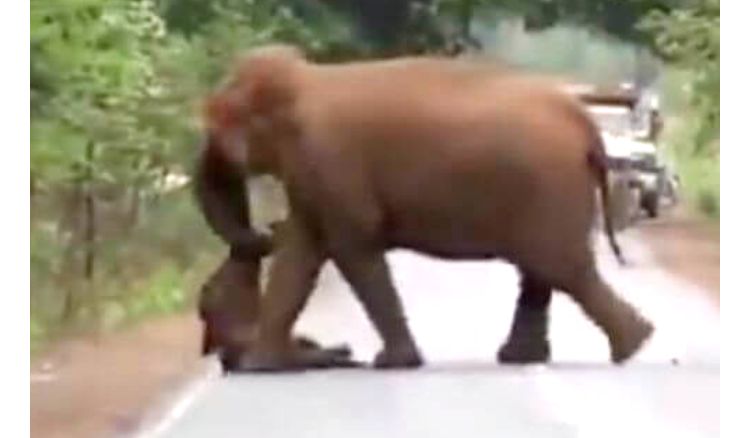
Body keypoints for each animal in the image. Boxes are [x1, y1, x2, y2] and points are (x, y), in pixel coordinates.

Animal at [197, 46, 656, 372]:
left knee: (560, 267)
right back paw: (533, 357)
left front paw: (393, 363)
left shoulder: (328, 160)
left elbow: (350, 246)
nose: (264, 230)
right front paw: (262, 366)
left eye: (217, 126)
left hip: (549, 187)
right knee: (543, 270)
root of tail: (585, 122)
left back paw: (631, 347)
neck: (302, 79)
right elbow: (304, 248)